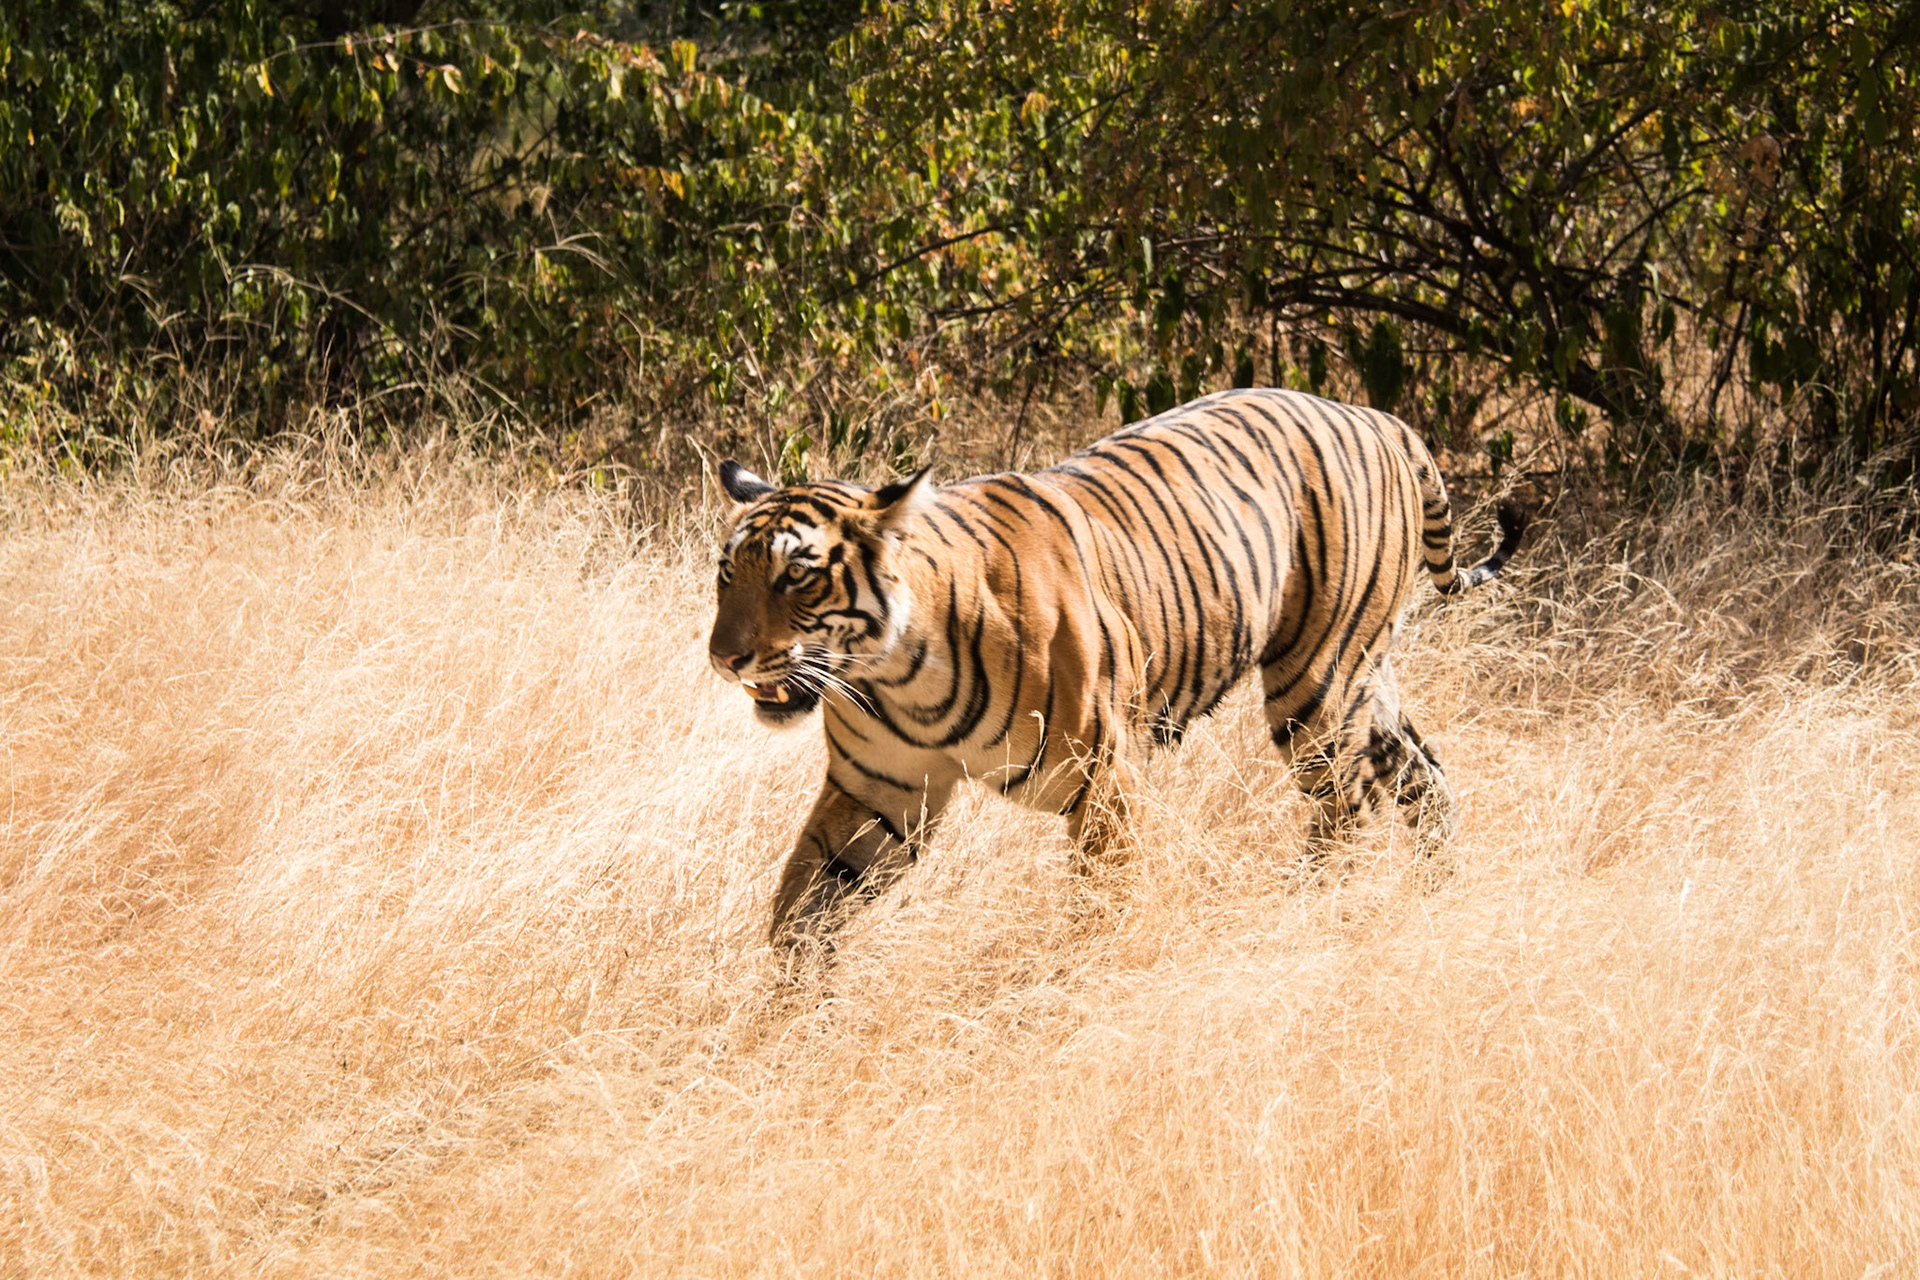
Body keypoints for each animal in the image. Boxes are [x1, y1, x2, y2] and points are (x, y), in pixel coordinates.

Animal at [707, 387, 1524, 954]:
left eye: (796, 575)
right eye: (727, 572)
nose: (724, 656)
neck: (901, 675)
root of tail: (1377, 416)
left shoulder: (1104, 777)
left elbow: (1102, 906)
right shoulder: (879, 791)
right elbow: (800, 902)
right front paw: (784, 1020)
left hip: (1314, 679)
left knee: (1348, 806)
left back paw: (1305, 912)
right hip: (1361, 676)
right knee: (1421, 771)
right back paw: (1437, 894)